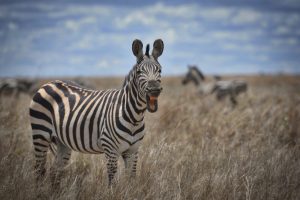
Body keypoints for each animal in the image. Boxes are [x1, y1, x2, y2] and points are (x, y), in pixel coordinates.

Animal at [29, 39, 165, 186]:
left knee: (55, 171)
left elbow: (131, 179)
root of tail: (49, 83)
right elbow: (112, 181)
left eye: (160, 70)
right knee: (39, 169)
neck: (134, 117)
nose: (154, 90)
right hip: (40, 133)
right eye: (139, 72)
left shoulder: (133, 151)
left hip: (61, 142)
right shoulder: (110, 149)